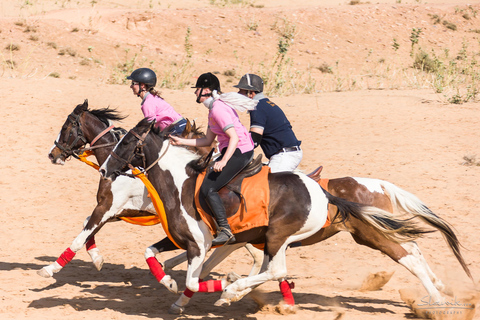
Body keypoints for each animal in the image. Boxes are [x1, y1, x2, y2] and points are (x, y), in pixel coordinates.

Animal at [98, 117, 432, 312]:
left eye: (127, 141)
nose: (104, 169)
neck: (183, 183)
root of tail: (324, 192)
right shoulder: (193, 241)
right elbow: (154, 254)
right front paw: (170, 285)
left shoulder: (208, 244)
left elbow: (198, 278)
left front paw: (223, 289)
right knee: (414, 250)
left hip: (303, 236)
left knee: (409, 257)